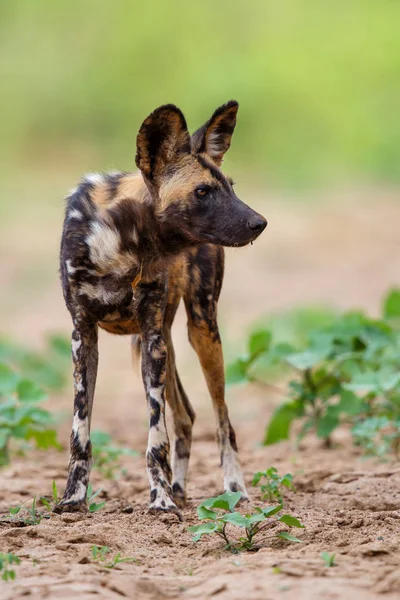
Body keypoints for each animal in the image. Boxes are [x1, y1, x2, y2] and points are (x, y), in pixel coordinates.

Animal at [55, 101, 266, 516]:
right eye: (203, 191)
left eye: (231, 187)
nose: (260, 223)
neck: (122, 244)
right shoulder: (84, 336)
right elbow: (80, 431)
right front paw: (73, 498)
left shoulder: (152, 338)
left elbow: (156, 436)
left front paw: (161, 499)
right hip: (157, 344)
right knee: (186, 416)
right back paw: (181, 488)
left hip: (200, 331)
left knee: (222, 419)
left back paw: (233, 489)